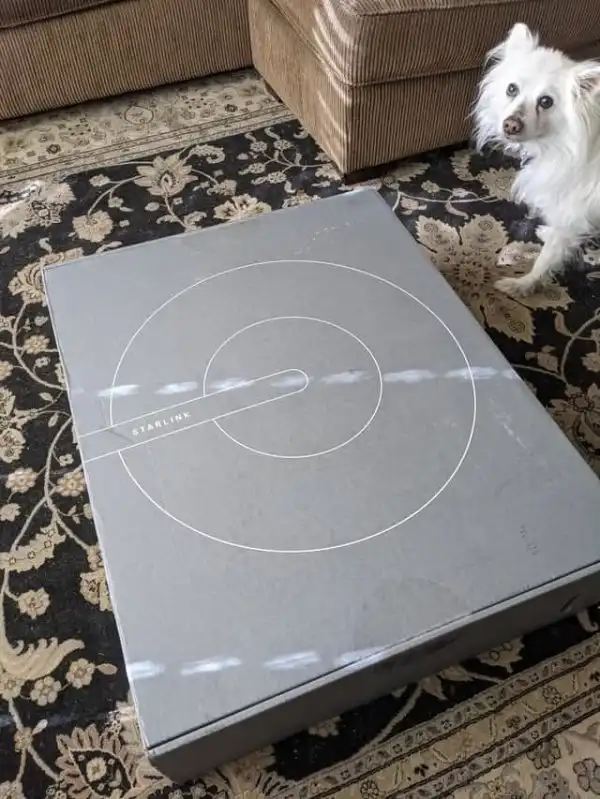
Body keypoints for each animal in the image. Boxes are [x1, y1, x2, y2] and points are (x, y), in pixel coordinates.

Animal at [473, 23, 600, 296]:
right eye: (511, 89)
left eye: (546, 101)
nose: (511, 125)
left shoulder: (569, 214)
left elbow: (546, 258)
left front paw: (523, 284)